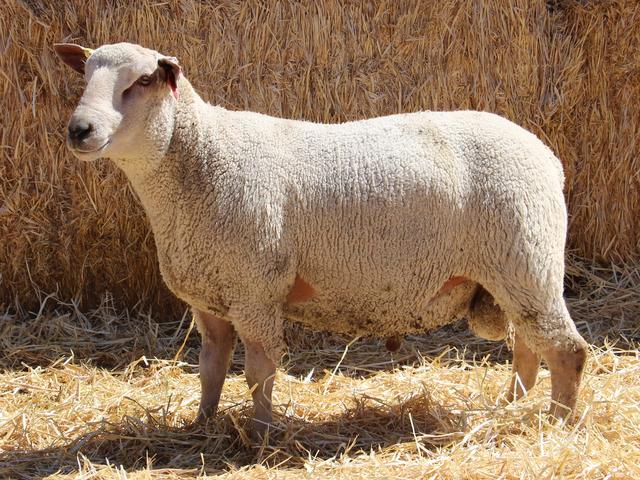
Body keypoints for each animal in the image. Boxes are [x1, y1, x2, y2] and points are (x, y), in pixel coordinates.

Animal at [54, 42, 588, 434]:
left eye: (142, 81)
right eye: (85, 75)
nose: (79, 130)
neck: (201, 161)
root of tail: (546, 154)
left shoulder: (255, 290)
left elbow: (259, 372)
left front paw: (261, 435)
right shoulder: (210, 297)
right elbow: (211, 368)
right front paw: (201, 426)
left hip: (526, 259)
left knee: (566, 350)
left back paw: (556, 425)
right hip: (511, 272)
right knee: (528, 347)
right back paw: (509, 405)